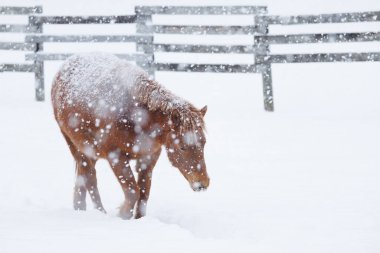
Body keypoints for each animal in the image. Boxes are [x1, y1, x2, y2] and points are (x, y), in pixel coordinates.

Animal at [50, 52, 209, 219]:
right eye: (182, 147)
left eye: (204, 143)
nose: (202, 184)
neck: (137, 116)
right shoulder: (116, 157)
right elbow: (133, 191)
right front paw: (123, 215)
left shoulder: (148, 158)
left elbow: (144, 193)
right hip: (76, 146)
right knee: (90, 178)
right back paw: (99, 212)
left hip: (90, 150)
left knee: (82, 178)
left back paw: (80, 209)